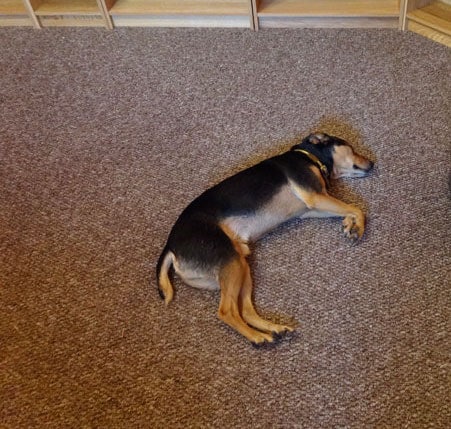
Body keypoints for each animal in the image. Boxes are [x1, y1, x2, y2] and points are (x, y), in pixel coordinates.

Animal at [157, 134, 376, 344]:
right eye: (351, 148)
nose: (373, 163)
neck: (310, 157)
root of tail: (171, 247)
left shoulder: (311, 209)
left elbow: (347, 209)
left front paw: (349, 223)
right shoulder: (314, 196)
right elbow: (357, 208)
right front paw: (358, 227)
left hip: (240, 266)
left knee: (246, 311)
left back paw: (274, 329)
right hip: (230, 260)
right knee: (227, 311)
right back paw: (257, 338)